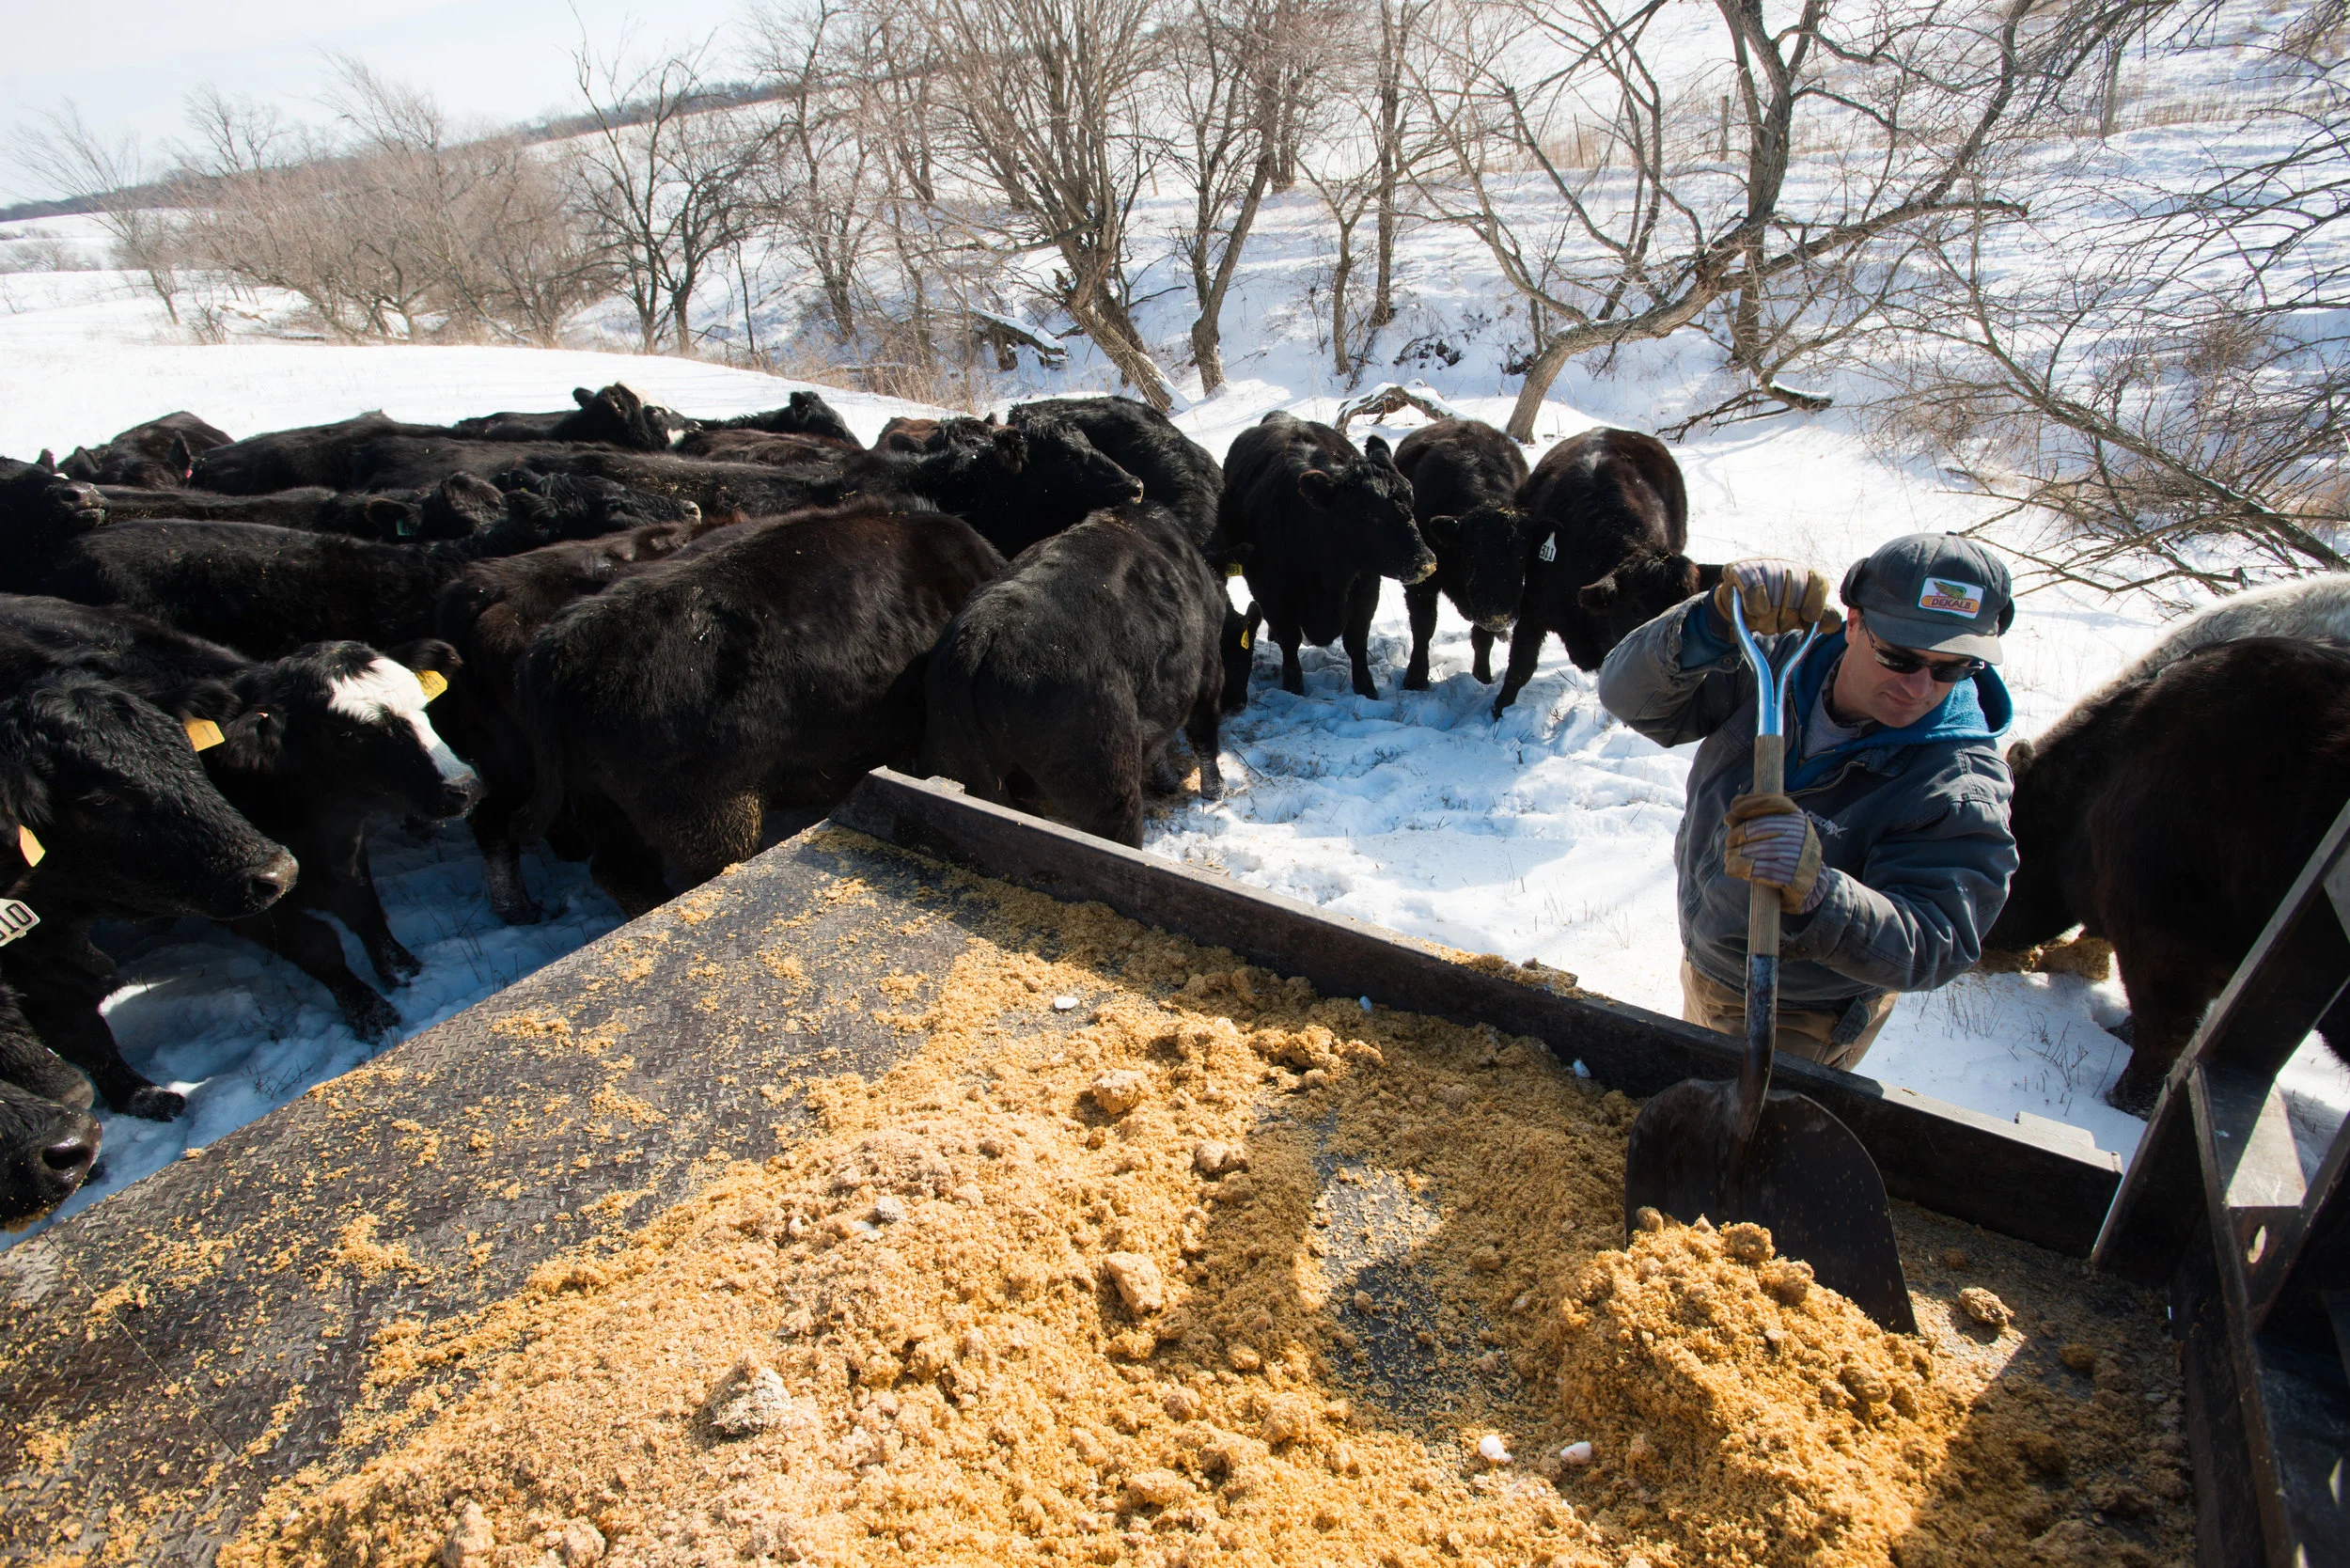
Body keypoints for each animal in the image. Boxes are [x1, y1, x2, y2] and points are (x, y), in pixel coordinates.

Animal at [0, 656, 297, 1117]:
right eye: (99, 800)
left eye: (186, 750)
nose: (278, 872)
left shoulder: (44, 949)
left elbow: (81, 1029)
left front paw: (146, 1097)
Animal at [922, 502, 1227, 846]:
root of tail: (984, 629)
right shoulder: (1208, 671)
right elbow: (1204, 737)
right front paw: (1214, 792)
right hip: (1107, 778)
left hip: (953, 758)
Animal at [1218, 411, 1433, 701]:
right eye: (1367, 513)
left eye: (1411, 501)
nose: (1426, 562)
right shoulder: (1269, 592)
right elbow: (1290, 639)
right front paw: (1293, 686)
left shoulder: (1367, 588)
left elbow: (1356, 641)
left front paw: (1366, 688)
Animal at [1391, 419, 1531, 691]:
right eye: (1474, 556)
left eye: (1523, 560)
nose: (1500, 616)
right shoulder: (1422, 581)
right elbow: (1423, 627)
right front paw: (1416, 677)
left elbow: (1482, 638)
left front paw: (1482, 676)